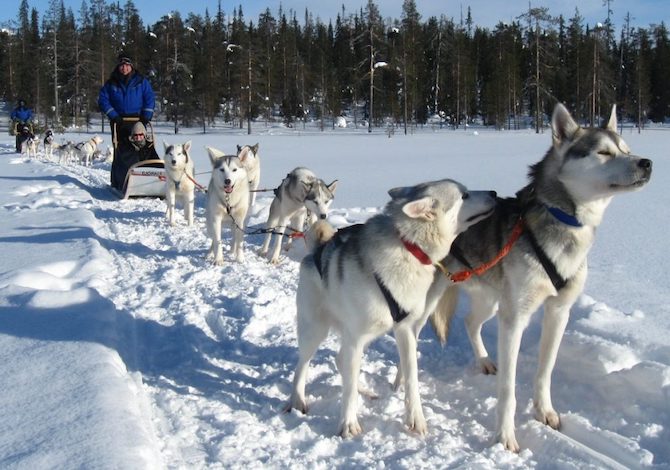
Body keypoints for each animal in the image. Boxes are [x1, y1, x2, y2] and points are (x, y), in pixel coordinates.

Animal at [286, 180, 496, 436]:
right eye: (464, 195)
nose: (494, 193)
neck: (409, 246)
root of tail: (318, 250)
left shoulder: (405, 330)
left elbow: (411, 377)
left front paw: (416, 418)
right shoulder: (356, 337)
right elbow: (347, 392)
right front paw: (348, 423)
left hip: (365, 335)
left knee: (342, 362)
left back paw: (362, 389)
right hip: (316, 331)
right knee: (303, 366)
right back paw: (298, 400)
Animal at [428, 103, 652, 452]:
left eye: (626, 149)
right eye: (603, 152)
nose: (647, 162)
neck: (565, 223)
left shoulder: (558, 312)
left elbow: (545, 371)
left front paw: (544, 411)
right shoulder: (515, 318)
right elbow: (508, 390)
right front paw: (505, 435)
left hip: (490, 300)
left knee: (470, 322)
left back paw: (484, 361)